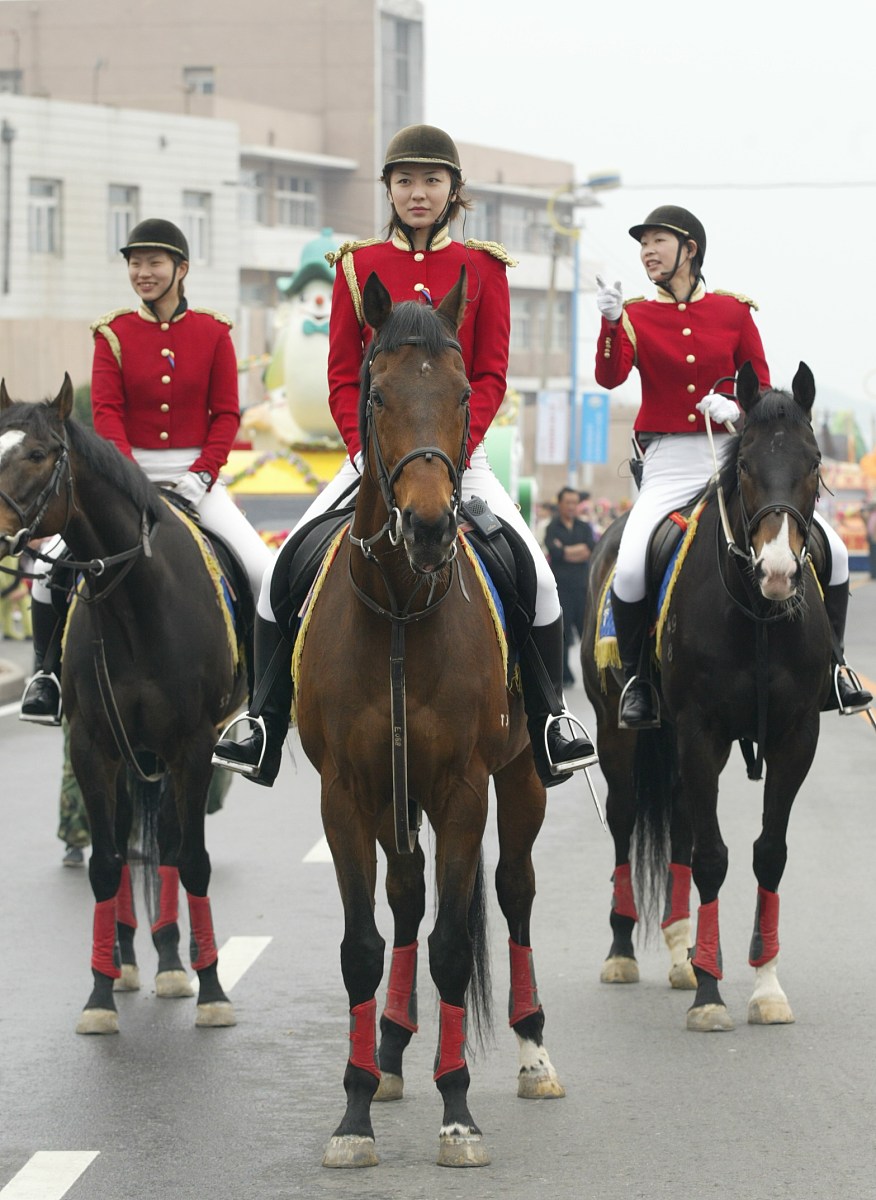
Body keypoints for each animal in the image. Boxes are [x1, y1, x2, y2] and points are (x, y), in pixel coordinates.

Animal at [0, 381, 246, 1032]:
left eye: (39, 454)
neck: (137, 601)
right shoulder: (93, 746)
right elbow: (106, 864)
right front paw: (99, 993)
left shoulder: (191, 747)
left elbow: (190, 860)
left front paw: (212, 988)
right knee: (129, 838)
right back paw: (130, 958)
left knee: (166, 844)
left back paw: (173, 960)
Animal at [296, 267, 564, 1166]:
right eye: (375, 394)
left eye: (463, 395)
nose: (427, 525)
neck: (402, 606)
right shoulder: (345, 794)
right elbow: (360, 947)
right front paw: (353, 1112)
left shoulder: (462, 789)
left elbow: (452, 944)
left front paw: (458, 1110)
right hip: (391, 799)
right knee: (407, 900)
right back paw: (387, 1053)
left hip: (520, 780)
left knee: (514, 891)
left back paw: (532, 1049)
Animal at [583, 362, 830, 1032]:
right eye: (743, 463)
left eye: (814, 461)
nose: (779, 571)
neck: (757, 614)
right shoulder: (700, 732)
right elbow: (714, 856)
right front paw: (712, 995)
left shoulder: (796, 735)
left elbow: (768, 852)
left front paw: (765, 986)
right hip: (621, 733)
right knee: (625, 819)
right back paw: (625, 950)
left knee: (679, 822)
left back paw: (681, 951)